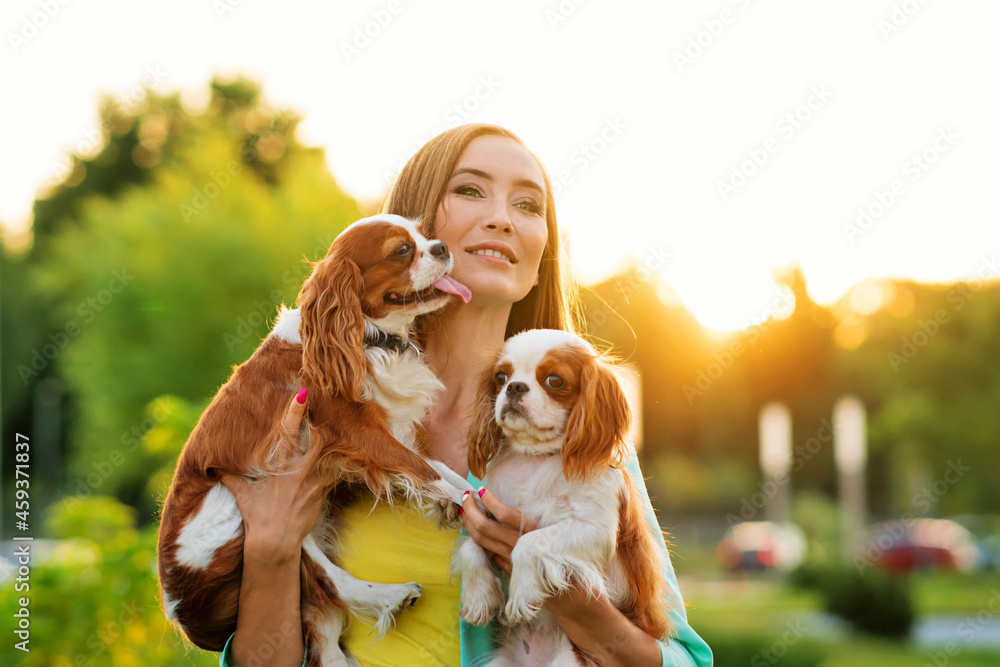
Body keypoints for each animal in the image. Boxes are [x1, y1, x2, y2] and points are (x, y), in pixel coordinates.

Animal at [159, 215, 476, 667]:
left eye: (423, 233)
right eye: (401, 250)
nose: (442, 247)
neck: (364, 338)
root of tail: (179, 612)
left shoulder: (388, 433)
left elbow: (439, 468)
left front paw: (475, 497)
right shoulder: (357, 433)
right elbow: (423, 471)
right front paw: (457, 502)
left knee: (322, 628)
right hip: (232, 507)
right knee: (326, 580)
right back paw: (391, 596)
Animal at [458, 330, 676, 667]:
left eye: (555, 381)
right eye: (501, 377)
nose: (514, 387)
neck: (537, 458)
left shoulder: (593, 530)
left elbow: (529, 541)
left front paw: (522, 594)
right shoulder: (490, 516)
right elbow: (470, 543)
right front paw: (477, 597)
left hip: (570, 658)